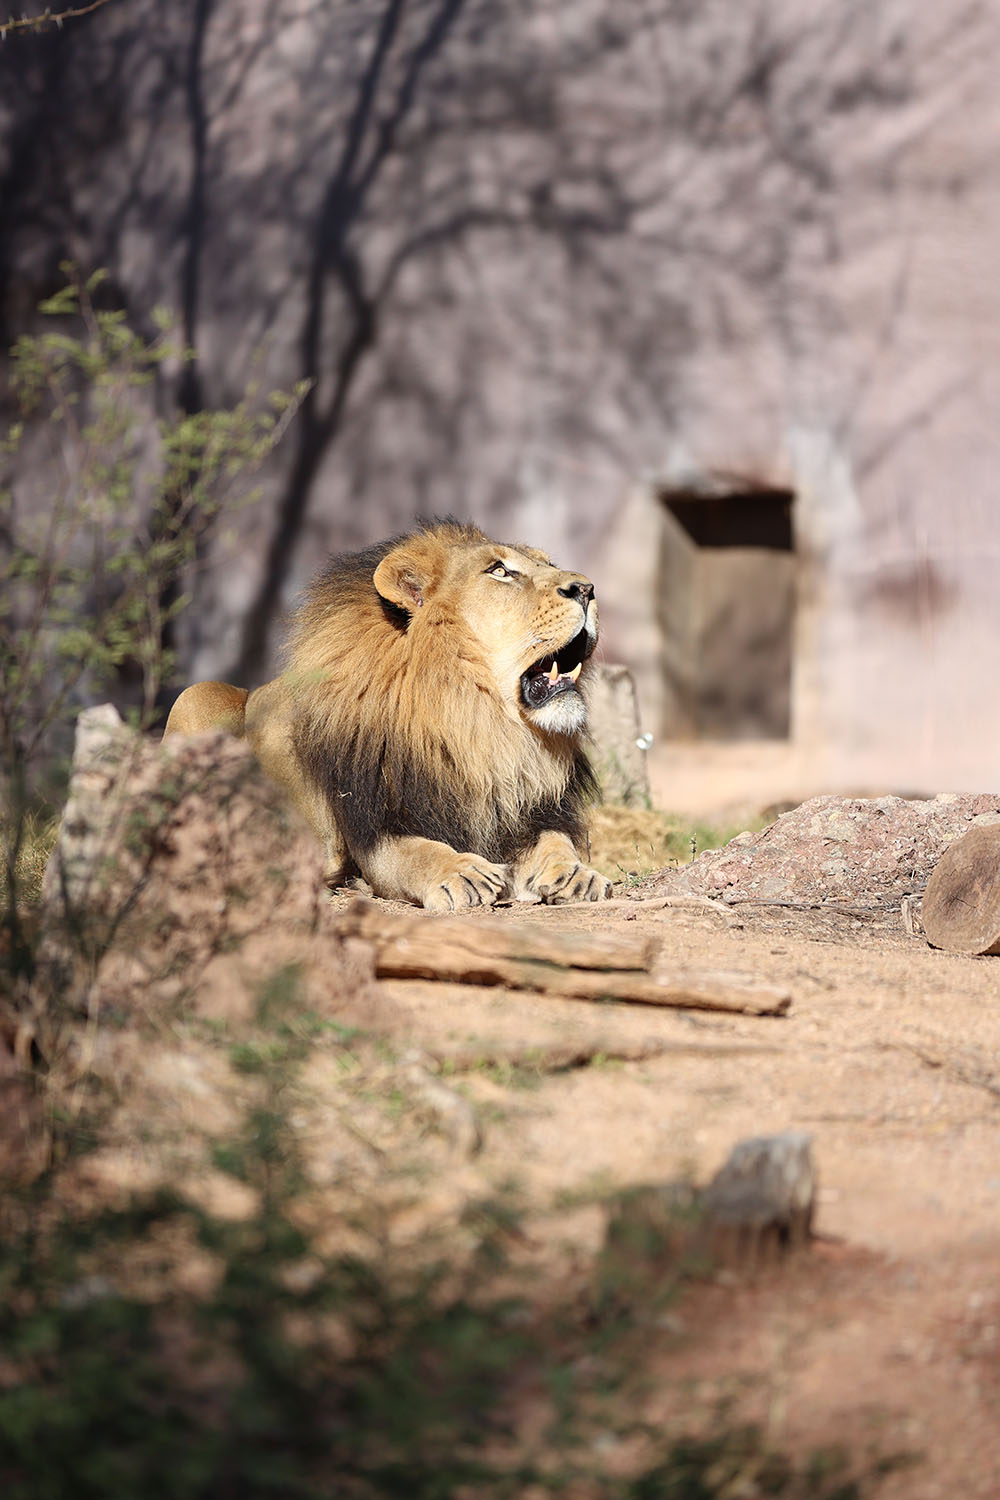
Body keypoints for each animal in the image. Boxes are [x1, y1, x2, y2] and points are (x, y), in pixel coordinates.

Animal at [163, 522, 614, 906]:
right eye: (500, 571)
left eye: (548, 564)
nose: (587, 589)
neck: (478, 725)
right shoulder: (376, 830)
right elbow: (419, 852)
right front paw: (461, 873)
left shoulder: (527, 812)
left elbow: (556, 842)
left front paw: (576, 874)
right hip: (196, 696)